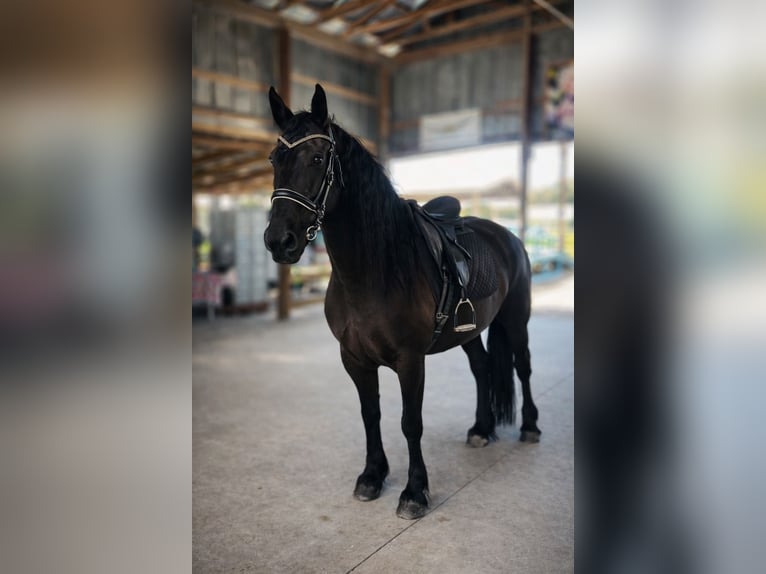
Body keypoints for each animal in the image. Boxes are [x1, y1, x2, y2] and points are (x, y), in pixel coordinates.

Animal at [264, 84, 541, 519]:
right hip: (470, 331)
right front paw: (372, 476)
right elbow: (371, 414)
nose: (279, 241)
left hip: (516, 319)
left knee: (523, 367)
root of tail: (507, 235)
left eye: (318, 158)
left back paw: (529, 427)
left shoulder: (410, 360)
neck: (374, 270)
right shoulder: (354, 358)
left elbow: (411, 422)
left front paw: (414, 492)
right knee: (482, 369)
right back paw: (481, 429)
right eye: (275, 159)